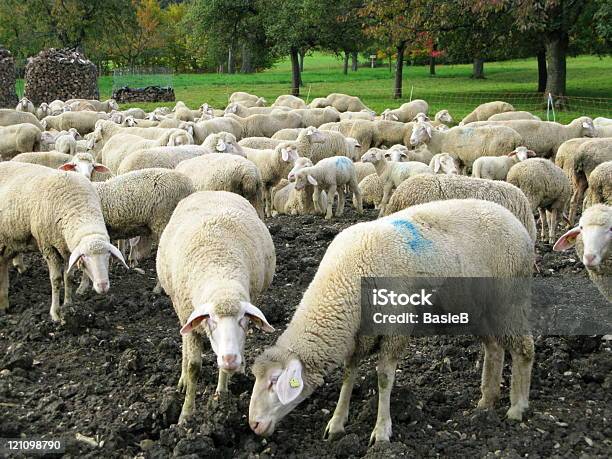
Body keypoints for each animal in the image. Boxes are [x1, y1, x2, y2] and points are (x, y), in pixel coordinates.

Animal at [0, 164, 126, 322]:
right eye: (85, 257)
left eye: (108, 256)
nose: (103, 285)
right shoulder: (49, 247)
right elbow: (56, 279)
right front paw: (55, 313)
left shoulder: (67, 250)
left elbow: (68, 277)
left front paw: (68, 305)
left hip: (9, 241)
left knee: (3, 263)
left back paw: (4, 302)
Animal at [157, 191, 274, 424]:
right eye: (211, 320)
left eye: (243, 320)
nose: (230, 359)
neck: (221, 274)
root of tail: (213, 190)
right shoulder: (191, 321)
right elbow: (194, 367)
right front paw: (186, 415)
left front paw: (221, 394)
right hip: (181, 311)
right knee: (184, 345)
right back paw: (183, 380)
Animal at [249, 199, 536, 446]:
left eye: (274, 382)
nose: (253, 425)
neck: (346, 281)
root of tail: (515, 221)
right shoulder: (358, 336)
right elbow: (348, 374)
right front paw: (337, 422)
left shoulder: (395, 329)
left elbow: (384, 378)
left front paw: (381, 430)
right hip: (477, 309)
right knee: (494, 348)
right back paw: (486, 401)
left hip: (508, 298)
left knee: (524, 347)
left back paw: (517, 407)